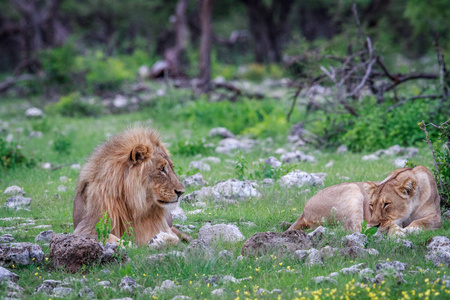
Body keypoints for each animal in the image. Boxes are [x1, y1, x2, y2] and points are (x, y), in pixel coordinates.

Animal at [286, 166, 442, 234]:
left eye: (386, 204)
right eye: (371, 205)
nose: (374, 225)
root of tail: (303, 212)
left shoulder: (436, 216)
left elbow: (420, 222)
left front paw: (408, 229)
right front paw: (399, 230)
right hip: (352, 189)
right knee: (357, 229)